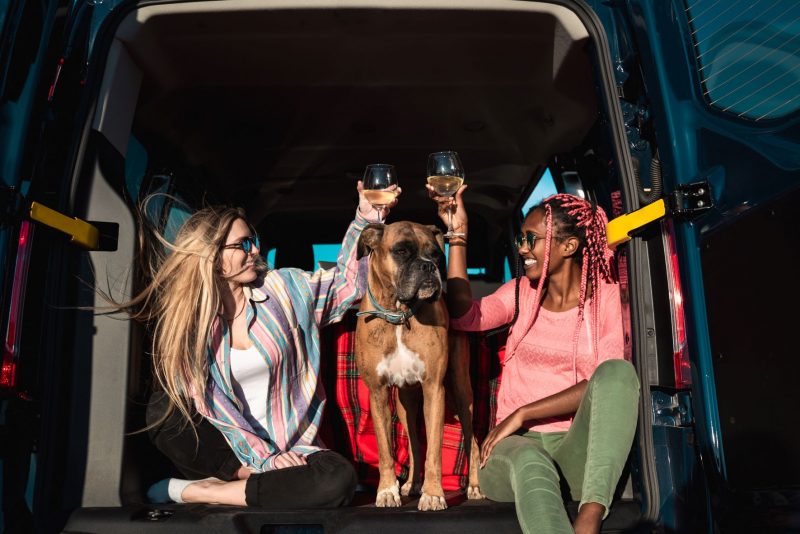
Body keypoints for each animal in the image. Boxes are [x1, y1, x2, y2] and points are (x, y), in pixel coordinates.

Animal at [356, 223, 482, 516]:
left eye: (436, 254)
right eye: (401, 251)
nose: (428, 266)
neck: (399, 315)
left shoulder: (433, 389)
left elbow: (434, 451)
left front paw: (434, 495)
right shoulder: (378, 393)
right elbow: (386, 451)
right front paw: (387, 490)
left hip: (461, 391)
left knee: (472, 440)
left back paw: (473, 486)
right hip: (406, 404)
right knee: (413, 443)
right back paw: (411, 484)